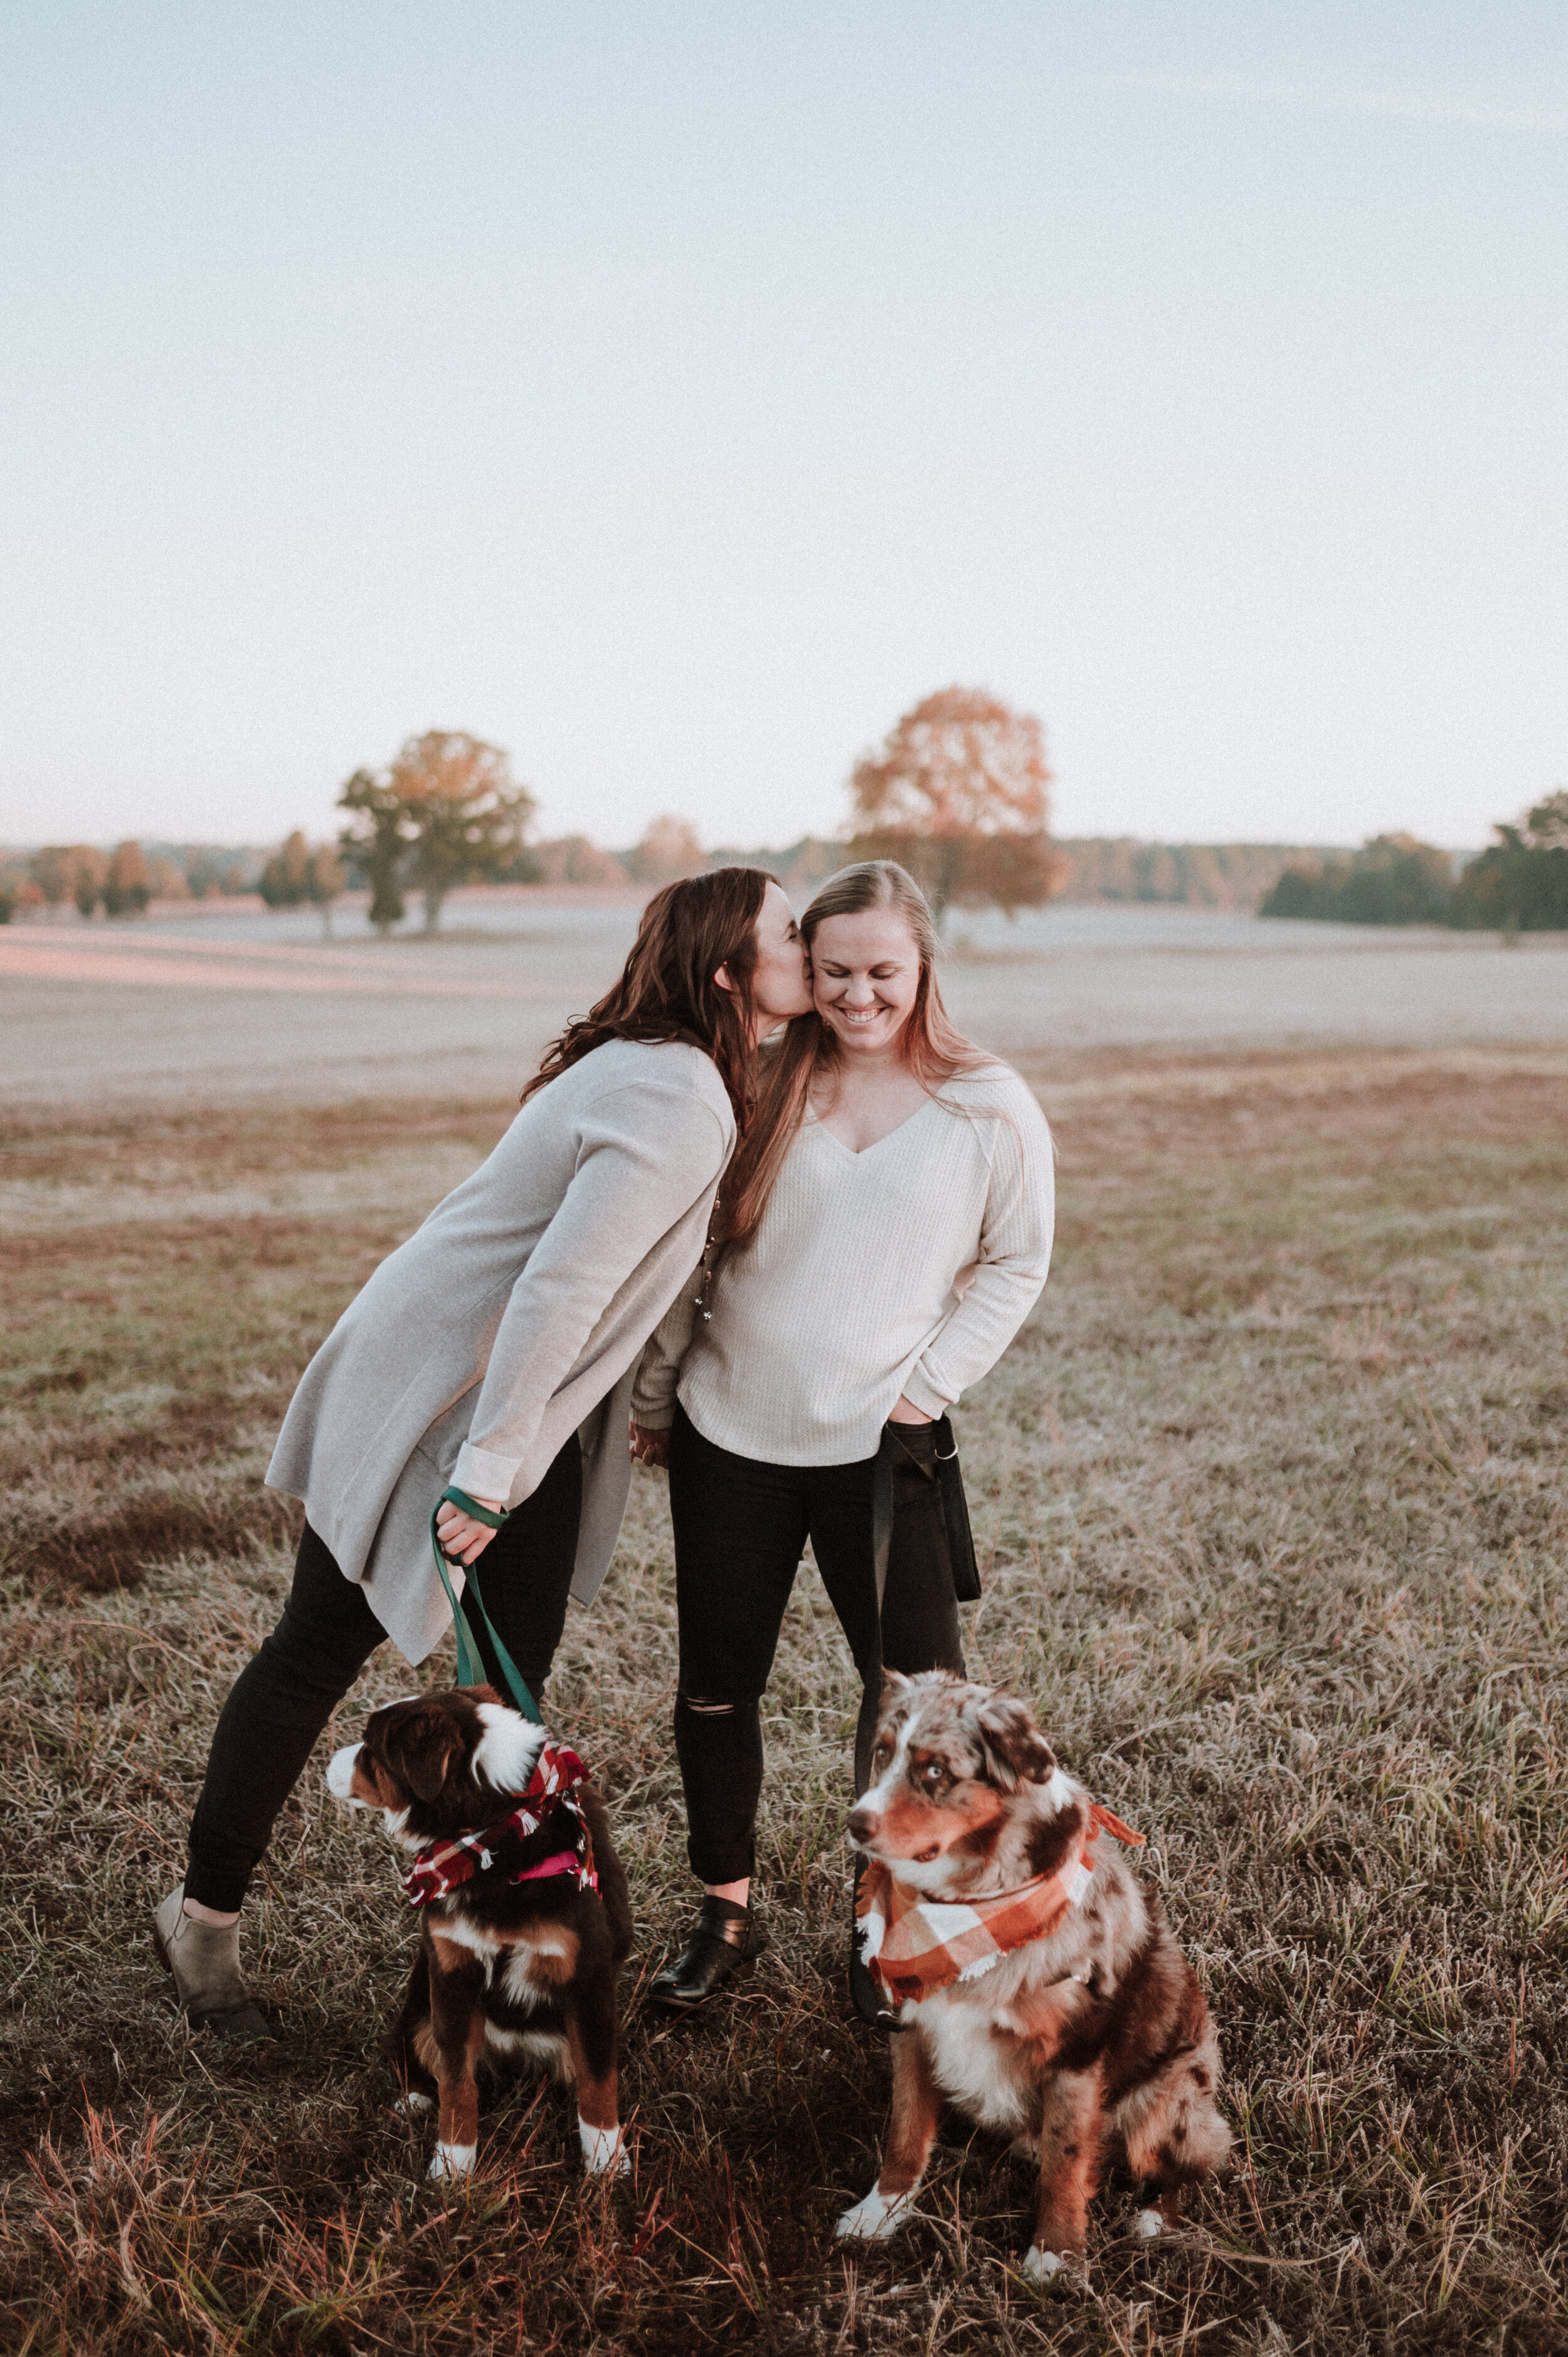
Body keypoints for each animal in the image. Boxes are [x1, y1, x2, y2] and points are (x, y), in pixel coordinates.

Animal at [327, 1688, 632, 2178]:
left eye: (370, 1751)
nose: (326, 1762)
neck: (495, 1836)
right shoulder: (453, 1969)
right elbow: (455, 2081)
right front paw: (452, 2166)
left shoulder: (587, 1976)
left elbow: (598, 2079)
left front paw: (607, 2162)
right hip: (419, 2004)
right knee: (419, 2055)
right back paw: (414, 2101)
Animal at [839, 1668, 1226, 2272]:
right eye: (881, 1752)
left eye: (935, 1769)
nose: (856, 1823)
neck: (971, 1907)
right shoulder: (913, 2027)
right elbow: (904, 2128)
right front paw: (881, 2210)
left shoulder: (1076, 2052)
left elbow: (1065, 2162)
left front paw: (1054, 2255)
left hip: (1165, 2096)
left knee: (1197, 2164)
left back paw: (1156, 2217)